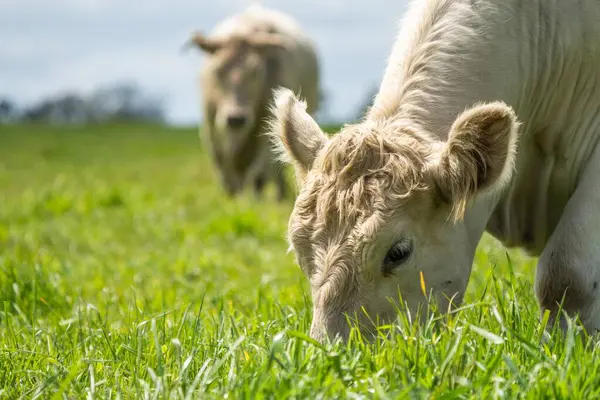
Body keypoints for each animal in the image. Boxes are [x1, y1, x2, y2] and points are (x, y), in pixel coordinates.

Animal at [188, 3, 322, 200]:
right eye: (217, 70)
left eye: (255, 72)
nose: (236, 118)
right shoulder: (210, 122)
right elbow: (221, 159)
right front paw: (231, 196)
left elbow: (262, 167)